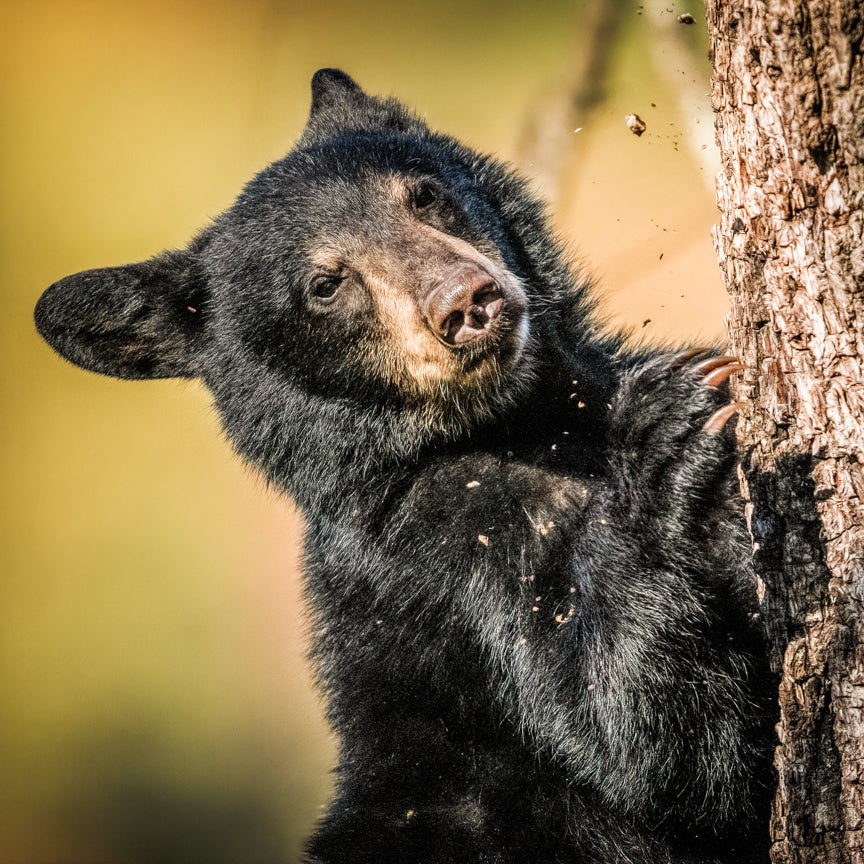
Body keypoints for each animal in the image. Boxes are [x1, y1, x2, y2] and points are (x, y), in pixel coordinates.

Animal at [35, 69, 776, 864]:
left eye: (423, 196)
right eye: (325, 285)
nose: (467, 303)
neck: (522, 424)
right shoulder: (457, 563)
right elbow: (660, 747)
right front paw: (667, 431)